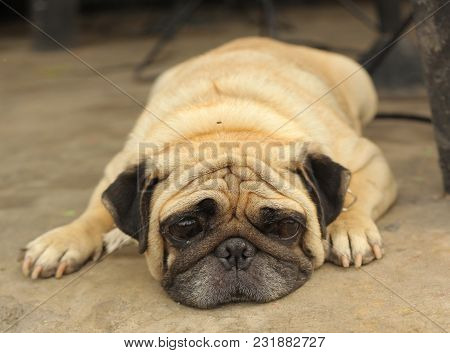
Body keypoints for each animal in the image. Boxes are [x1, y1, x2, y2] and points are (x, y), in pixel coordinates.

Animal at [22, 37, 394, 308]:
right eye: (185, 228)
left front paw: (349, 228)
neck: (222, 127)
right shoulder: (118, 167)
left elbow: (355, 193)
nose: (236, 251)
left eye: (287, 227)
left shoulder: (369, 158)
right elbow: (96, 211)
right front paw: (62, 240)